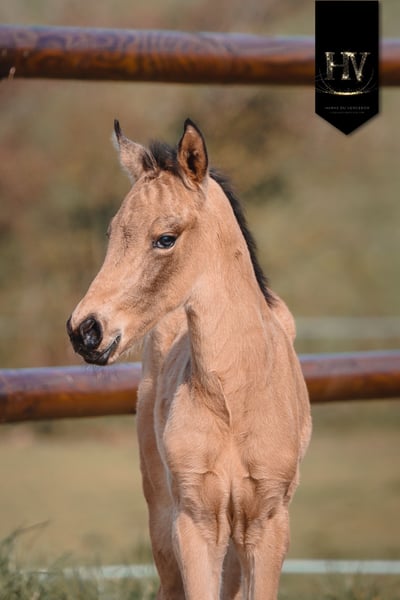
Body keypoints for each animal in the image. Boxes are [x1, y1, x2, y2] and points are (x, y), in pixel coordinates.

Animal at [67, 119, 311, 599]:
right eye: (112, 233)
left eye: (166, 238)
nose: (86, 331)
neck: (236, 395)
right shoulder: (194, 521)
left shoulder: (268, 523)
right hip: (163, 516)